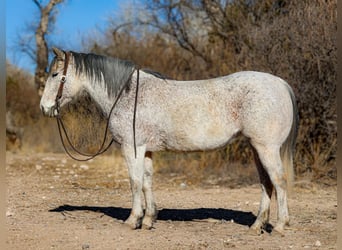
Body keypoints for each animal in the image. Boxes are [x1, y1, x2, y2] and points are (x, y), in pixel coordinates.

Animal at [39, 47, 296, 235]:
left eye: (55, 75)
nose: (45, 108)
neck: (127, 94)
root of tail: (281, 83)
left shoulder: (132, 148)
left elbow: (134, 182)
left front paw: (133, 220)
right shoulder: (146, 150)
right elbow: (147, 183)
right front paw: (148, 220)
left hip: (267, 148)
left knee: (279, 181)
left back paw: (280, 226)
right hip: (256, 148)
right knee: (266, 184)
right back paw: (257, 225)